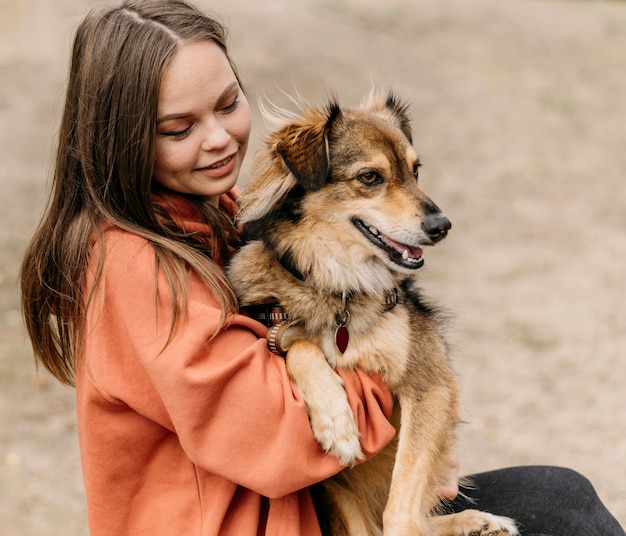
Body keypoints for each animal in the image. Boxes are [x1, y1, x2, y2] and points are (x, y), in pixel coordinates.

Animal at [225, 92, 516, 536]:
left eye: (415, 170)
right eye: (370, 177)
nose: (442, 225)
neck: (339, 285)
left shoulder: (430, 384)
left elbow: (402, 513)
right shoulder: (276, 325)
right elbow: (301, 347)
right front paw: (337, 423)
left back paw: (478, 522)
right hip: (337, 495)